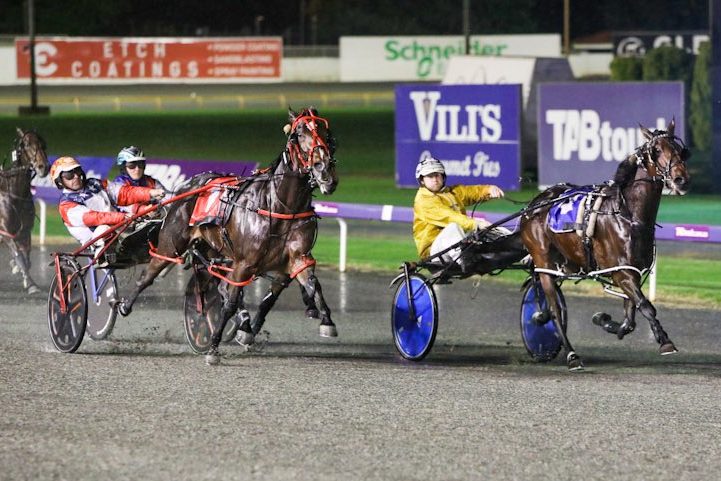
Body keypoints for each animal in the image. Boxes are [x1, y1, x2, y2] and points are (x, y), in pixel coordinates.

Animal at [0, 128, 49, 294]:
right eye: (26, 145)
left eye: (43, 143)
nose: (43, 167)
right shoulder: (5, 232)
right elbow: (19, 255)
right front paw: (32, 284)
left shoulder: (25, 231)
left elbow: (26, 258)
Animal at [117, 107, 339, 363]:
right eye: (298, 135)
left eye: (326, 132)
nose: (325, 172)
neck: (279, 206)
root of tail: (187, 186)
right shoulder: (245, 263)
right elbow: (231, 302)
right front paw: (213, 347)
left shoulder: (296, 259)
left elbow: (309, 286)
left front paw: (326, 320)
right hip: (172, 244)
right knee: (149, 274)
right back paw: (125, 305)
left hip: (216, 250)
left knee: (221, 285)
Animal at [519, 119, 690, 371]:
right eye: (656, 151)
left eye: (680, 150)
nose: (680, 179)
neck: (629, 214)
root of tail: (534, 204)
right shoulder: (621, 272)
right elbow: (646, 305)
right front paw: (665, 341)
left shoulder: (633, 271)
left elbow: (630, 317)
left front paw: (605, 321)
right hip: (543, 261)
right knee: (554, 310)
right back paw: (571, 355)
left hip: (566, 261)